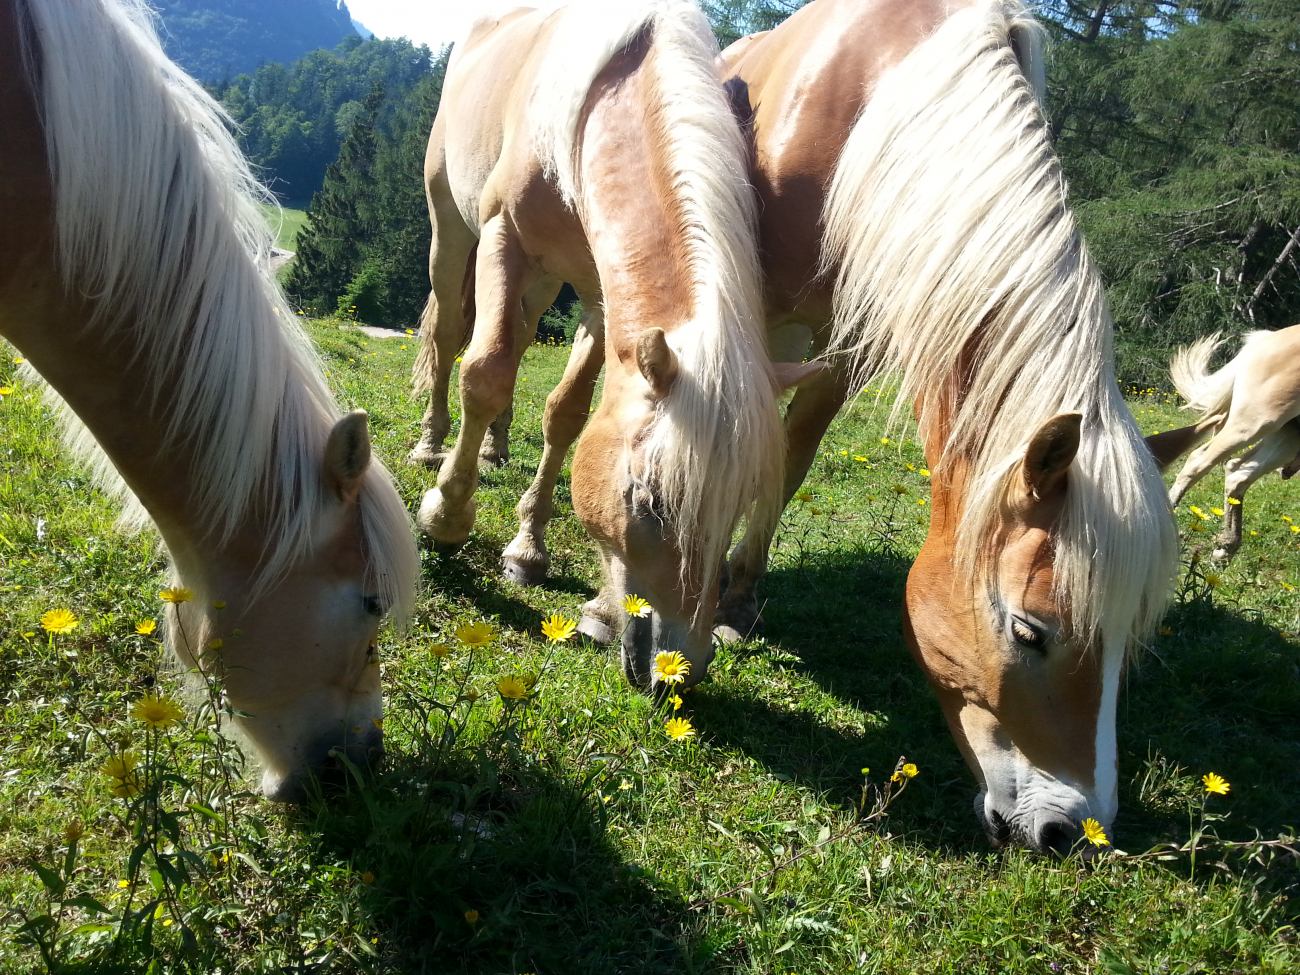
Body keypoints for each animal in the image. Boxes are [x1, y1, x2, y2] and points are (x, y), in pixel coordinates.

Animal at [405, 0, 795, 686]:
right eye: (648, 500)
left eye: (739, 506)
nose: (677, 668)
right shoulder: (503, 236)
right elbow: (484, 372)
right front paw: (445, 518)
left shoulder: (598, 297)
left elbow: (566, 414)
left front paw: (527, 550)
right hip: (451, 227)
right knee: (453, 333)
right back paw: (432, 444)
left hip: (543, 280)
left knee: (521, 333)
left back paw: (494, 450)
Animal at [1164, 326, 1300, 561]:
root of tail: (1267, 338)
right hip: (1255, 423)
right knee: (1199, 462)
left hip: (1288, 436)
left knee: (1238, 474)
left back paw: (1225, 550)